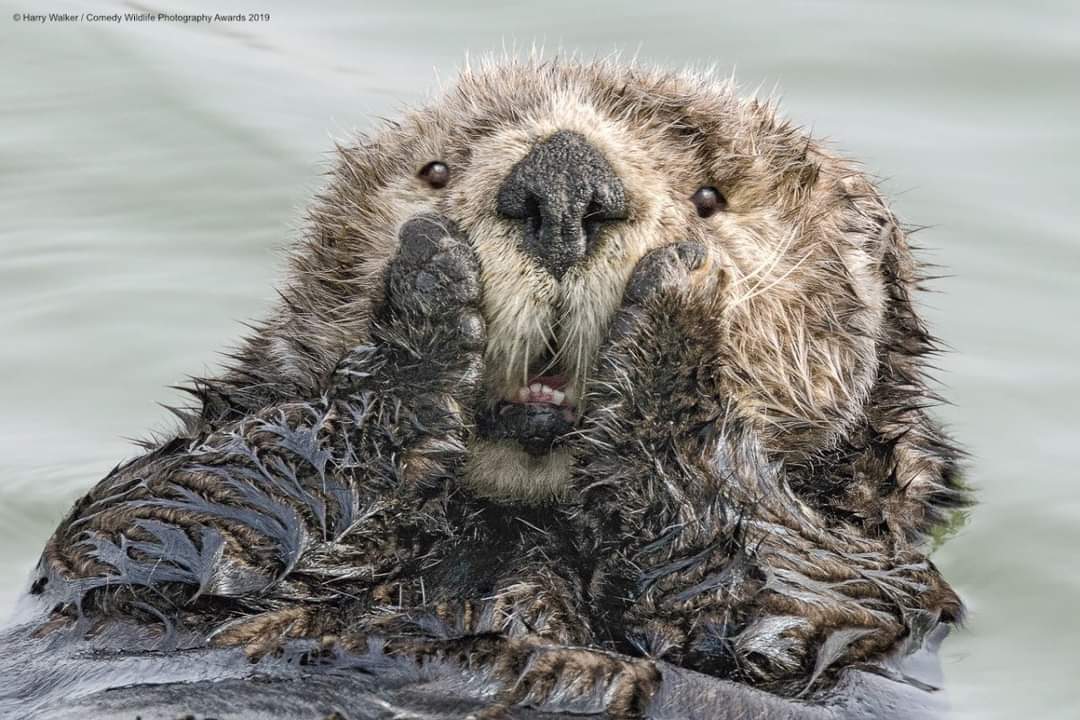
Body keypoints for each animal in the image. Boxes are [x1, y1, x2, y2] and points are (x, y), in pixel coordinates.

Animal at [2, 59, 972, 716]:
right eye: (436, 171)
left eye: (710, 197)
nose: (563, 183)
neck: (518, 524)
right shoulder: (129, 543)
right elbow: (172, 516)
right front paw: (427, 289)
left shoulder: (876, 590)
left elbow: (771, 595)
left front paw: (679, 309)